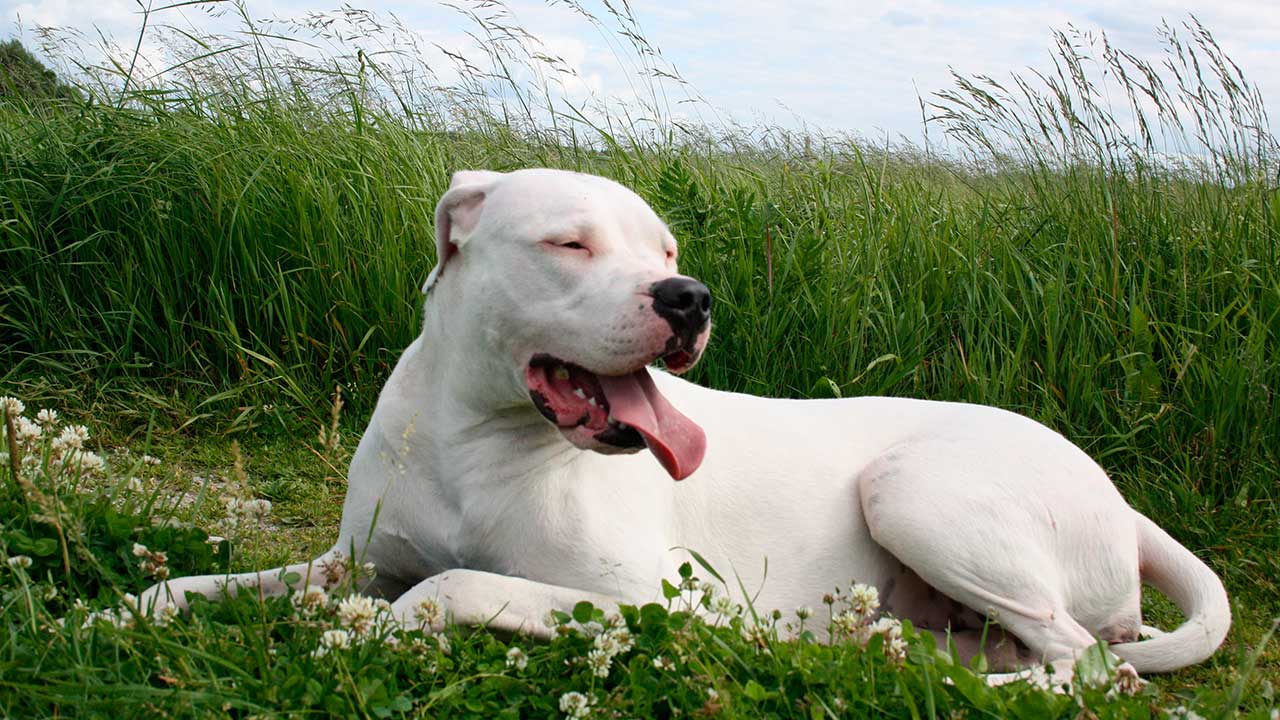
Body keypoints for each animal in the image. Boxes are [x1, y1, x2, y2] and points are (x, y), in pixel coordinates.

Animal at [142, 167, 1228, 676]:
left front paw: (371, 631)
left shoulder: (661, 601)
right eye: (569, 244)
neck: (474, 438)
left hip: (912, 490)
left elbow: (448, 585)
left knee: (1088, 666)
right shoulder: (353, 558)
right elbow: (220, 584)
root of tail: (1113, 494)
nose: (688, 295)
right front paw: (141, 605)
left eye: (665, 247)